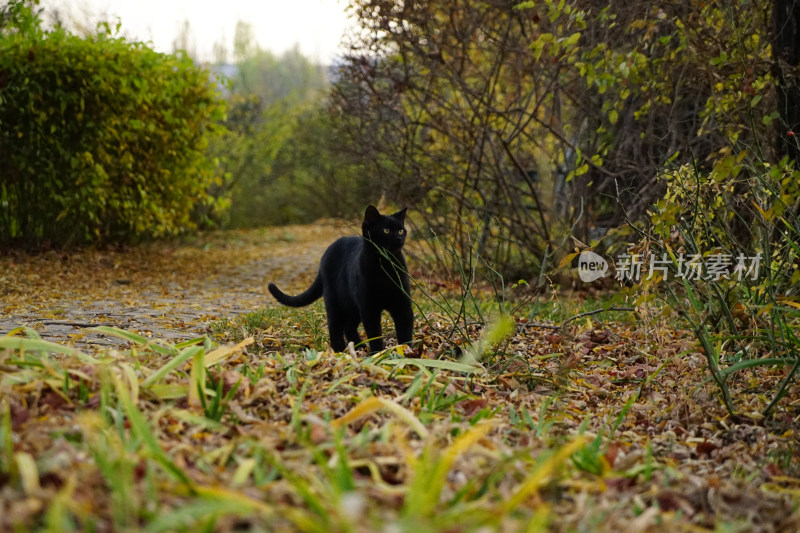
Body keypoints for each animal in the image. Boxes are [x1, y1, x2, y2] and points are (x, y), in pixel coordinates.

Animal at [272, 206, 416, 352]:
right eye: (386, 230)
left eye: (401, 230)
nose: (399, 238)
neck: (385, 265)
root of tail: (327, 251)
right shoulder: (369, 308)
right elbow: (374, 334)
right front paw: (378, 353)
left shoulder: (402, 305)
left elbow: (405, 332)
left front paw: (406, 352)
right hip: (335, 304)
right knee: (334, 327)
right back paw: (340, 350)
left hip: (352, 306)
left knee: (348, 326)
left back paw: (359, 347)